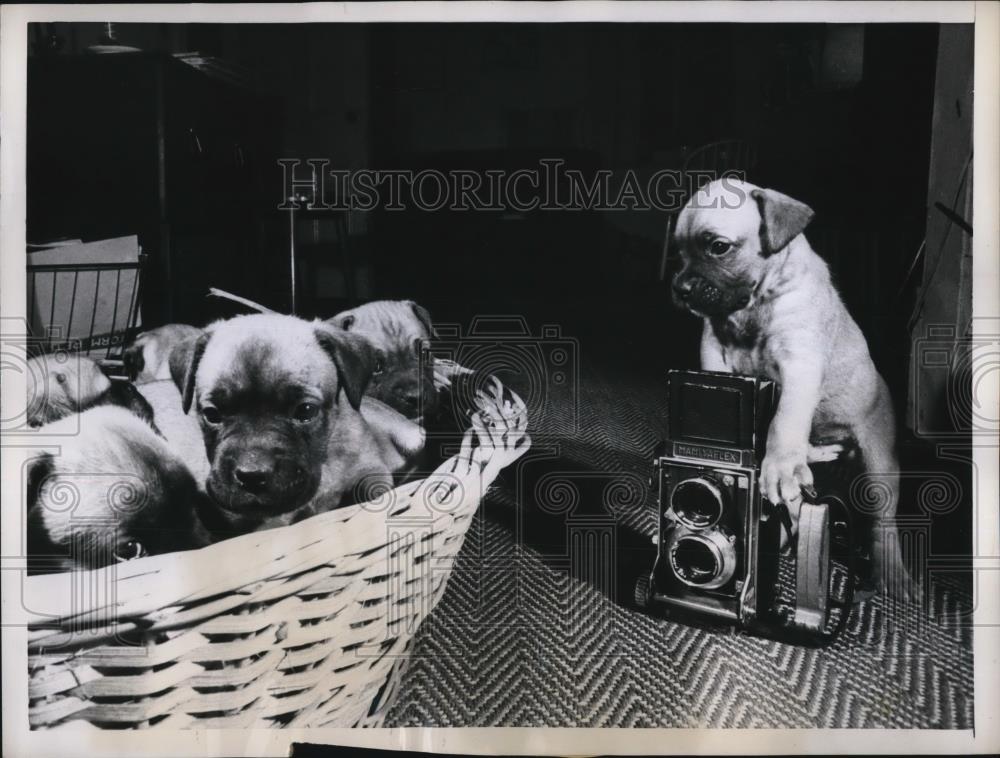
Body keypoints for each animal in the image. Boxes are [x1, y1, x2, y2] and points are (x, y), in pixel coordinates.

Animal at [672, 180, 916, 600]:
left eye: (718, 246)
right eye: (679, 250)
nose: (680, 288)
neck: (754, 304)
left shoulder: (800, 362)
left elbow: (785, 420)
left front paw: (780, 465)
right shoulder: (713, 348)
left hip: (880, 465)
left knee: (882, 522)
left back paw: (892, 573)